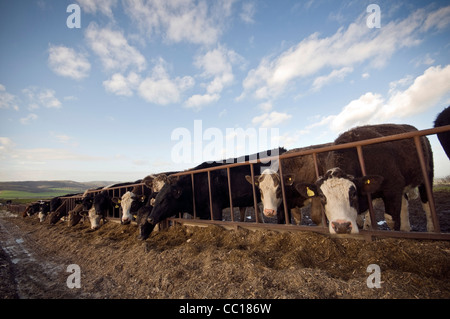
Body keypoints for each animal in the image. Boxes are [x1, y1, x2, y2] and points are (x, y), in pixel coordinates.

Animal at [296, 125, 432, 235]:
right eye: (322, 196)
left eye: (353, 193)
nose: (341, 226)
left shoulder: (393, 187)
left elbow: (391, 220)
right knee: (404, 203)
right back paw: (406, 228)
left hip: (426, 175)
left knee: (426, 202)